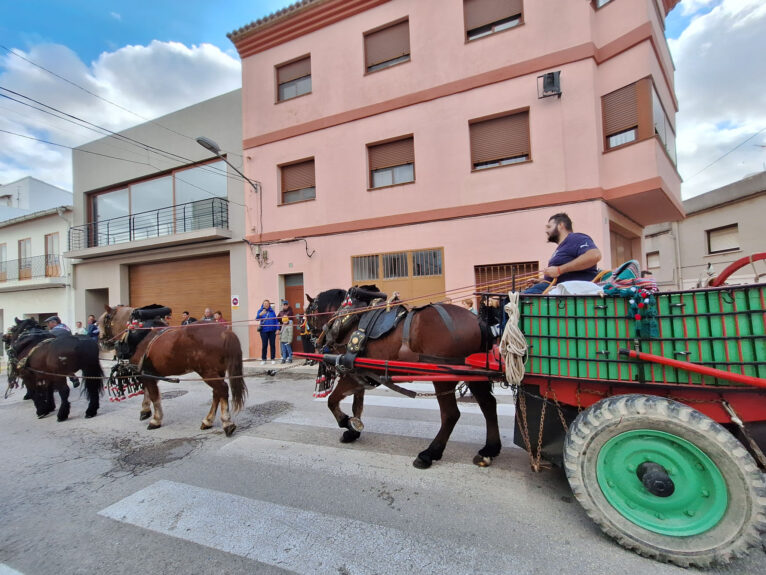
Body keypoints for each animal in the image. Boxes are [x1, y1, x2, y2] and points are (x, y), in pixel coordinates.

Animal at [99, 306, 248, 436]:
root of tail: (224, 331)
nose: (101, 340)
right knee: (217, 393)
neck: (140, 334)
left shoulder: (146, 373)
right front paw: (145, 410)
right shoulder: (149, 373)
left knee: (222, 389)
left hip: (207, 372)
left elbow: (154, 396)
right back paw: (208, 421)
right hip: (217, 372)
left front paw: (155, 420)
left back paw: (227, 423)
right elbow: (148, 392)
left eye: (106, 318)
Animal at [308, 286, 504, 470]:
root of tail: (478, 321)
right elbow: (357, 405)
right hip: (474, 376)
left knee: (451, 414)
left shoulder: (349, 374)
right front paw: (353, 429)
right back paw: (489, 449)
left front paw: (345, 422)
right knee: (488, 404)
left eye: (309, 314)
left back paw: (430, 453)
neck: (348, 319)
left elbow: (332, 401)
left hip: (443, 378)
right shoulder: (359, 375)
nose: (315, 343)